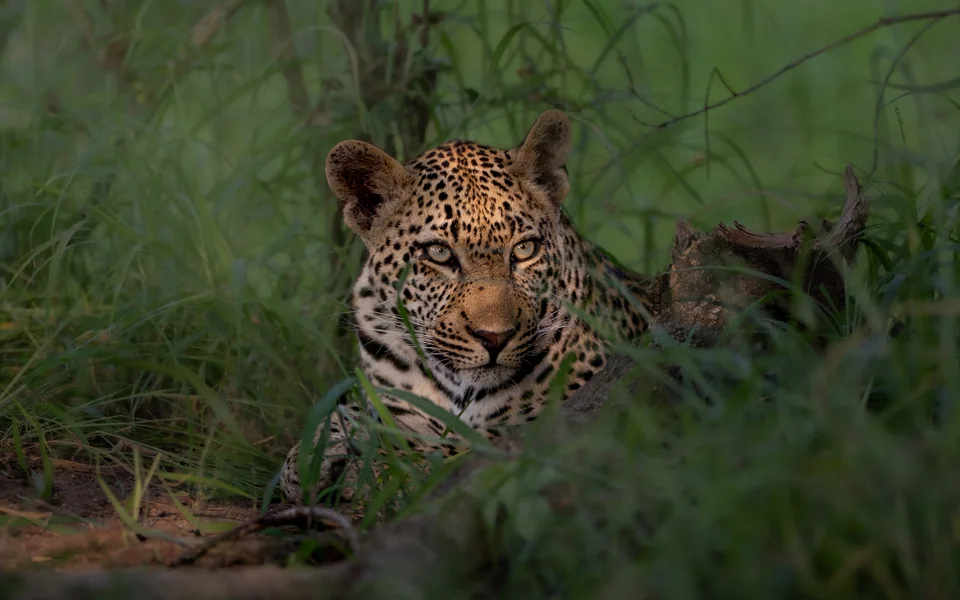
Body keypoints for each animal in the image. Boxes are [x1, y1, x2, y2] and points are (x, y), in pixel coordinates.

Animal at [279, 110, 652, 505]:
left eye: (525, 250)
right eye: (439, 254)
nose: (494, 338)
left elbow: (449, 451)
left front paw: (371, 463)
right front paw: (312, 453)